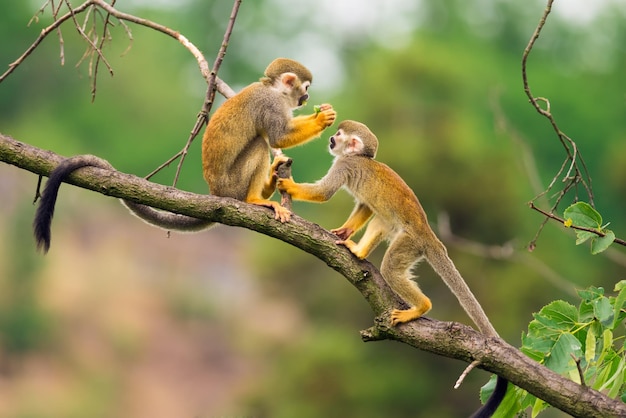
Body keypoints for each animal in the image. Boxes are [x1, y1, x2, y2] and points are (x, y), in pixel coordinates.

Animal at [31, 58, 334, 251]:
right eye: (305, 89)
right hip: (232, 185)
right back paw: (255, 199)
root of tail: (216, 193)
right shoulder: (270, 105)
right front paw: (321, 119)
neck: (274, 90)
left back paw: (270, 182)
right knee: (259, 143)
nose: (307, 98)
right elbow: (277, 136)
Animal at [276, 119, 508, 416]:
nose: (330, 139)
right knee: (381, 217)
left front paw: (289, 185)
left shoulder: (344, 165)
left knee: (390, 266)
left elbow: (325, 193)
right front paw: (345, 231)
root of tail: (428, 233)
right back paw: (359, 251)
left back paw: (421, 307)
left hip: (410, 242)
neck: (359, 158)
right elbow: (365, 206)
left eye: (338, 135)